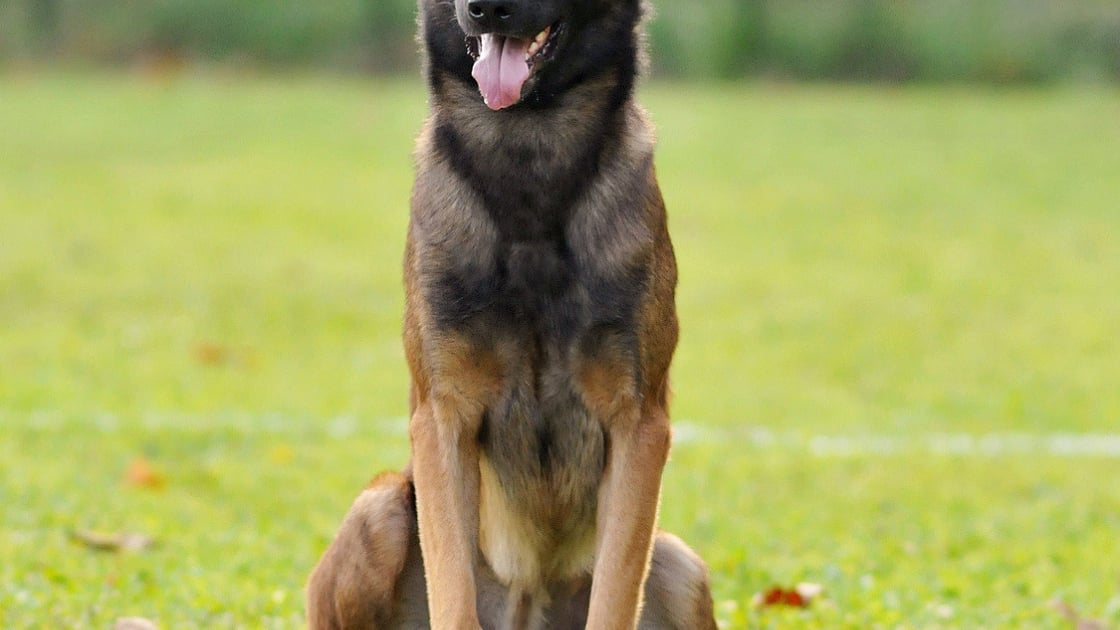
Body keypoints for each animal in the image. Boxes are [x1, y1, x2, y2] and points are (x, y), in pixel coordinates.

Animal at [302, 0, 716, 623]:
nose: (488, 8)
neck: (528, 156)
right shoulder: (443, 417)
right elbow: (453, 590)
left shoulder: (639, 424)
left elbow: (614, 596)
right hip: (381, 510)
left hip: (679, 567)